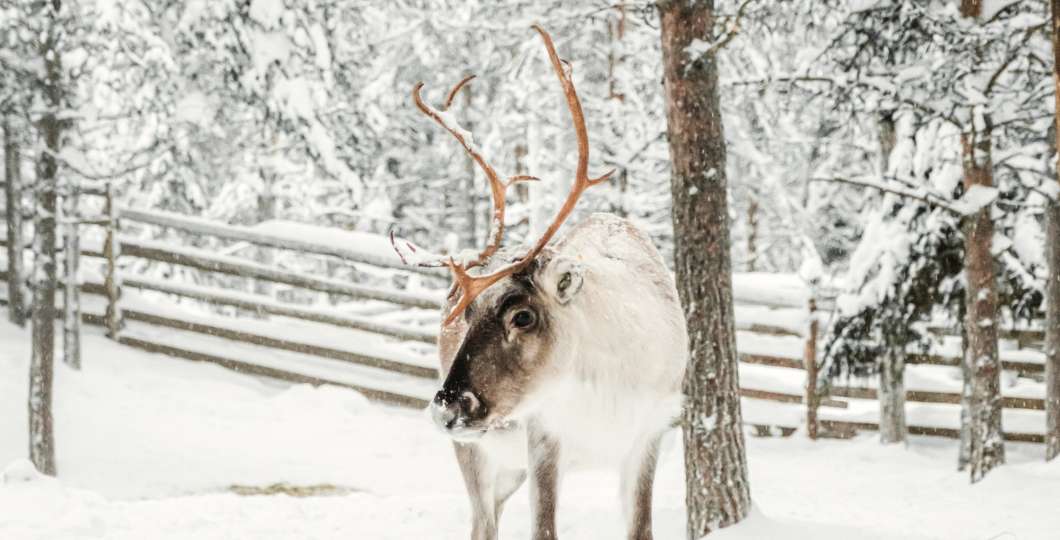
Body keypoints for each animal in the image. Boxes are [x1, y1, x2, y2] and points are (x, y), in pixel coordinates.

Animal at [392, 26, 688, 540]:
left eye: (523, 316)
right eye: (468, 313)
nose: (447, 407)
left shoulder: (648, 435)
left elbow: (641, 528)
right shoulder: (544, 437)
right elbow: (544, 529)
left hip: (504, 463)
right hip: (475, 448)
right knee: (482, 522)